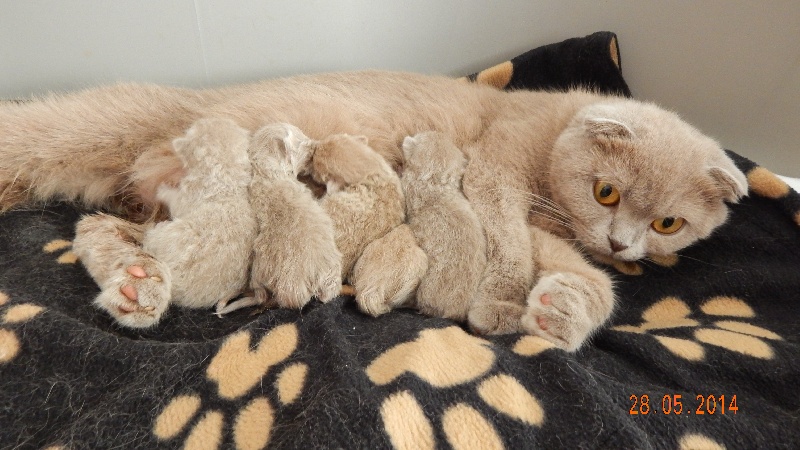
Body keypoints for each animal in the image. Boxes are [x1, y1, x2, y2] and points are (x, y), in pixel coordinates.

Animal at [1, 71, 752, 352]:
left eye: (668, 223)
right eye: (607, 192)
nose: (625, 244)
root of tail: (191, 102)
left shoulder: (552, 231)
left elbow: (580, 274)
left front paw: (564, 308)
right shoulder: (495, 180)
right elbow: (506, 242)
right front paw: (504, 307)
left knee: (99, 226)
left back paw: (135, 287)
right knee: (106, 224)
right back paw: (138, 287)